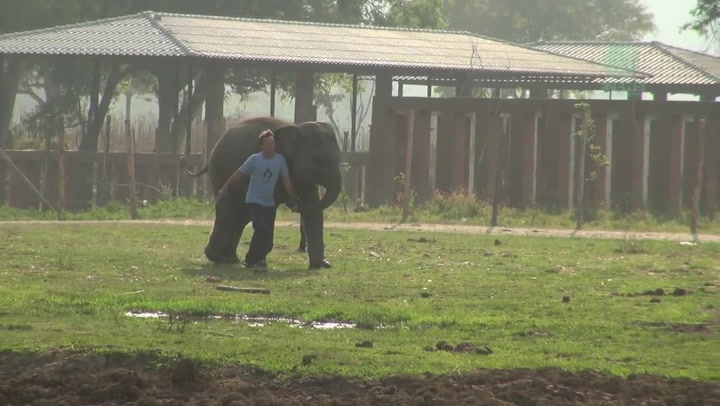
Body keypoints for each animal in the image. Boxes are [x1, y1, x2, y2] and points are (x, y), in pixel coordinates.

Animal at [181, 116, 342, 270]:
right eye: (317, 160)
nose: (294, 203)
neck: (296, 127)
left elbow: (311, 208)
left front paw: (321, 264)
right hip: (223, 170)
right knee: (230, 209)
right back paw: (219, 258)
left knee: (240, 216)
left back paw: (232, 259)